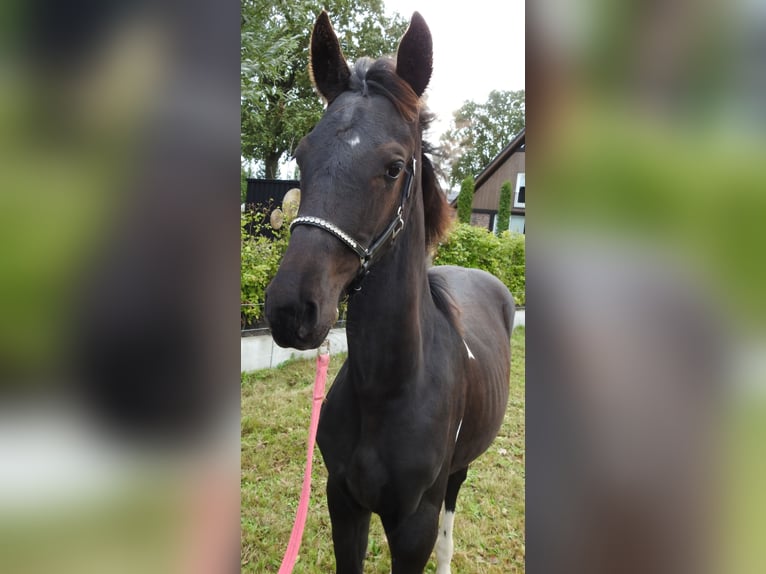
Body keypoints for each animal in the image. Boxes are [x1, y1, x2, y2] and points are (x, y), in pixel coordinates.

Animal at [266, 10, 516, 574]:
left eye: (394, 167)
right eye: (302, 155)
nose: (291, 309)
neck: (389, 389)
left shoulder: (413, 525)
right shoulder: (343, 503)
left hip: (456, 475)